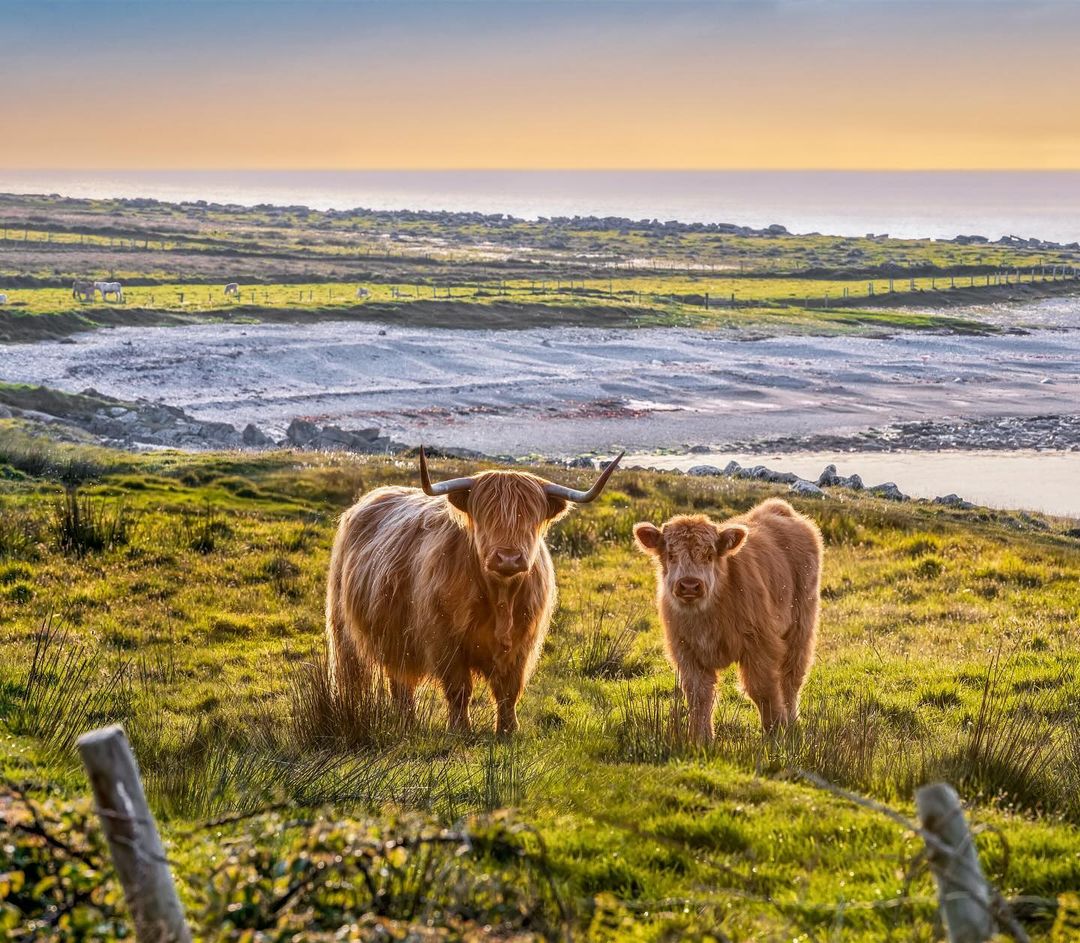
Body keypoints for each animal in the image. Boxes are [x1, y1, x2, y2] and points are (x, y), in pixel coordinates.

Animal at [324, 449, 622, 734]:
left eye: (529, 517)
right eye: (486, 515)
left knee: (401, 681)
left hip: (397, 640)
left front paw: (508, 730)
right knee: (353, 675)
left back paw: (406, 723)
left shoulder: (522, 644)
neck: (501, 596)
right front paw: (460, 730)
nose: (508, 558)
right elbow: (459, 689)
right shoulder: (444, 640)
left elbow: (508, 690)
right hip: (344, 630)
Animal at [630, 501, 816, 743]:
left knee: (791, 679)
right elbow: (699, 696)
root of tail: (777, 509)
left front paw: (776, 734)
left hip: (801, 627)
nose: (689, 585)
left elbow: (762, 690)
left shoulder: (760, 645)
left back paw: (792, 723)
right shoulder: (686, 652)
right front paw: (701, 740)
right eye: (671, 555)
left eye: (709, 555)